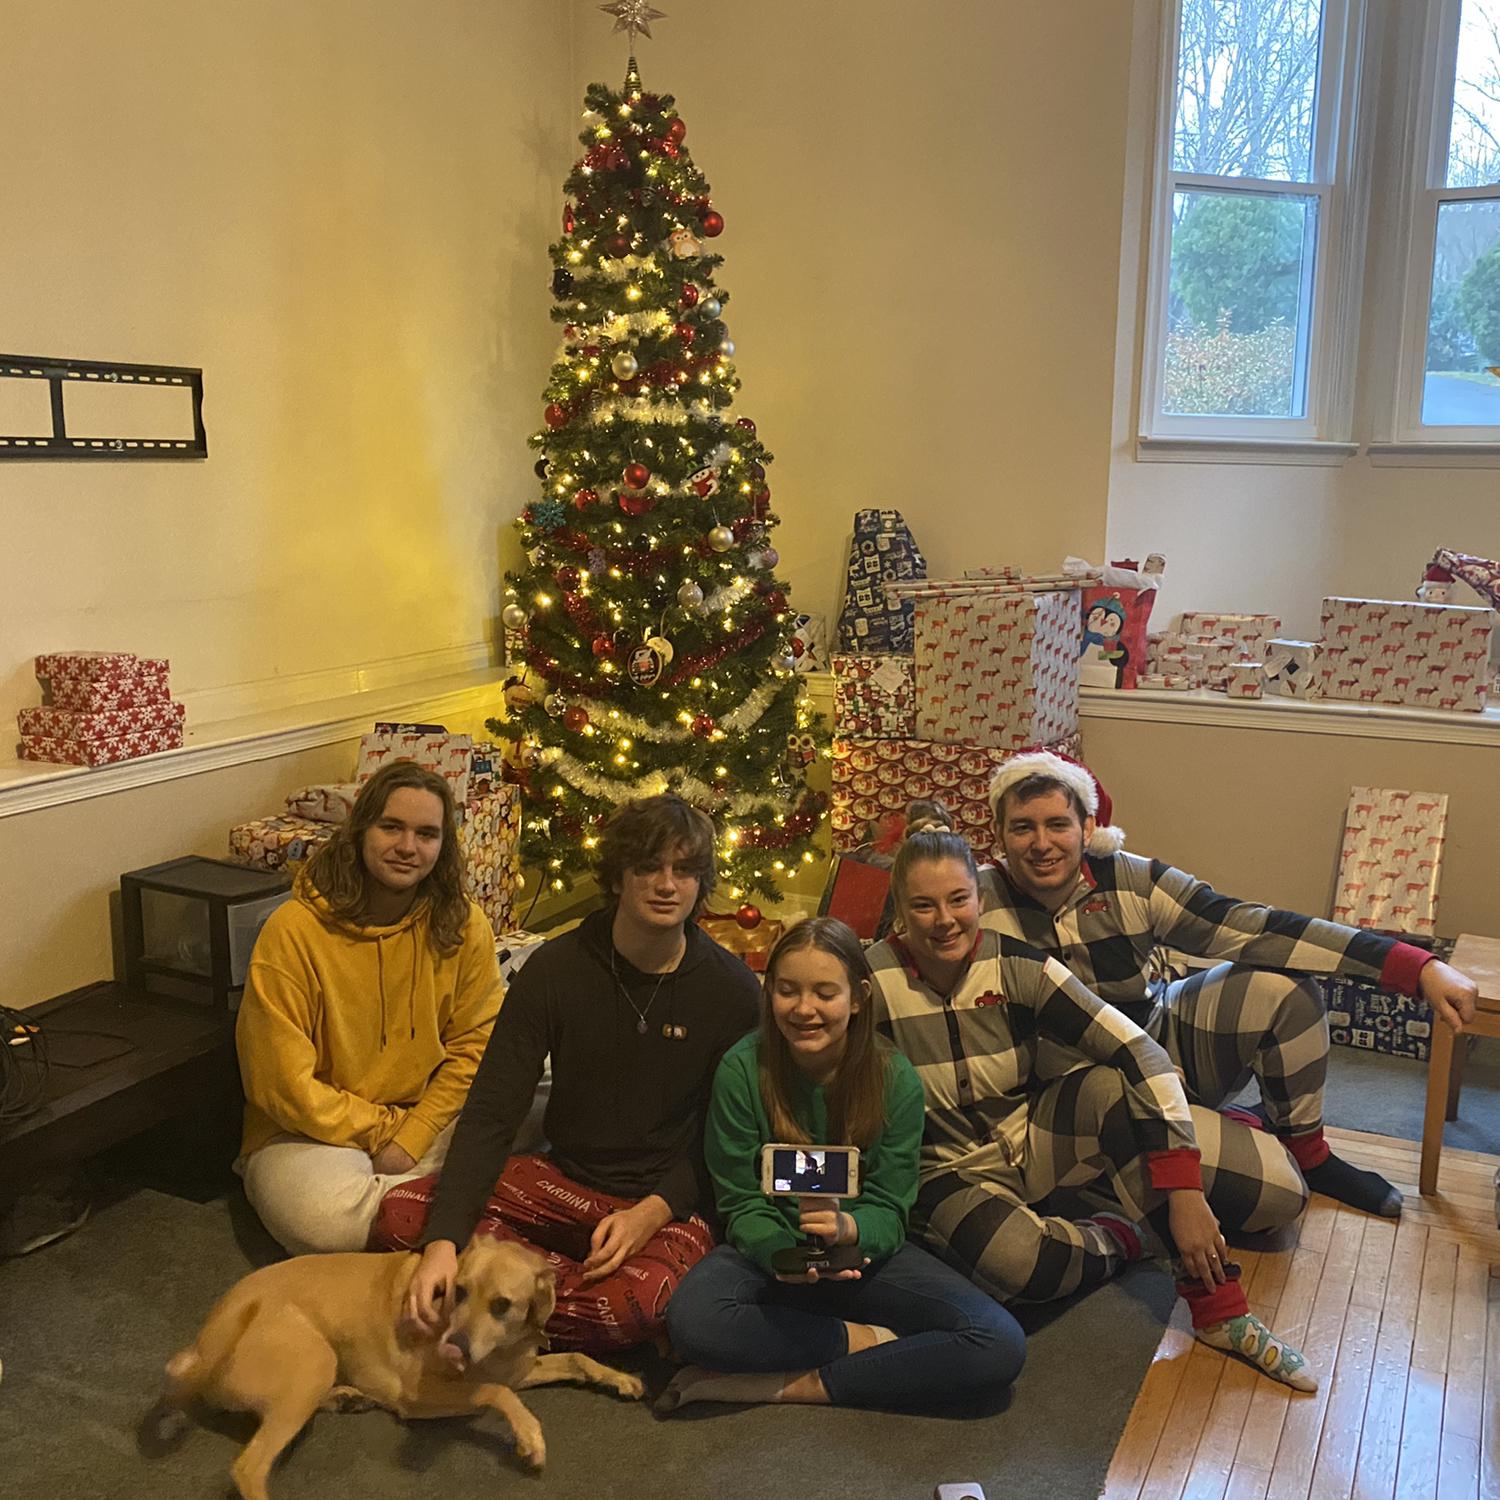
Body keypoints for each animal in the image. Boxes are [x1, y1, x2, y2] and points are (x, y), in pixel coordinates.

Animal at [145, 1236, 643, 1498]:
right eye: (459, 1291)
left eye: (502, 1305)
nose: (454, 1348)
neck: (501, 1349)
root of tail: (205, 1345)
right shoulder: (419, 1397)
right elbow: (496, 1393)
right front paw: (529, 1436)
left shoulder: (520, 1367)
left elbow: (577, 1358)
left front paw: (621, 1378)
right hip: (313, 1361)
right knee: (248, 1468)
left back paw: (346, 1398)